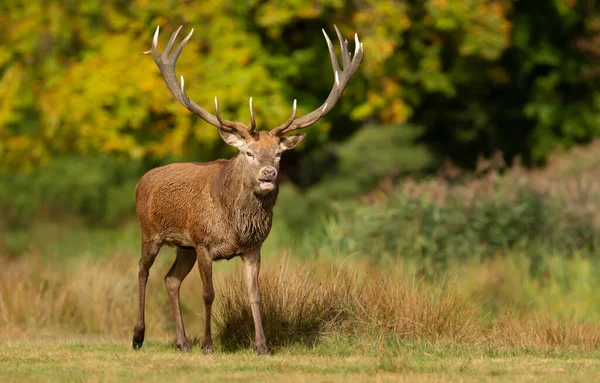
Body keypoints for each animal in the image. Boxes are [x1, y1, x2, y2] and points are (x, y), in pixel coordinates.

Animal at [133, 23, 364, 354]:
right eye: (249, 153)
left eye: (279, 153)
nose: (269, 174)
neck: (235, 225)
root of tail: (143, 179)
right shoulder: (204, 242)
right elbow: (208, 294)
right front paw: (208, 345)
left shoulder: (253, 247)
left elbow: (255, 295)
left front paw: (262, 345)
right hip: (150, 232)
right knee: (143, 270)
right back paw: (139, 336)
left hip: (183, 246)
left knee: (170, 279)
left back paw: (182, 343)